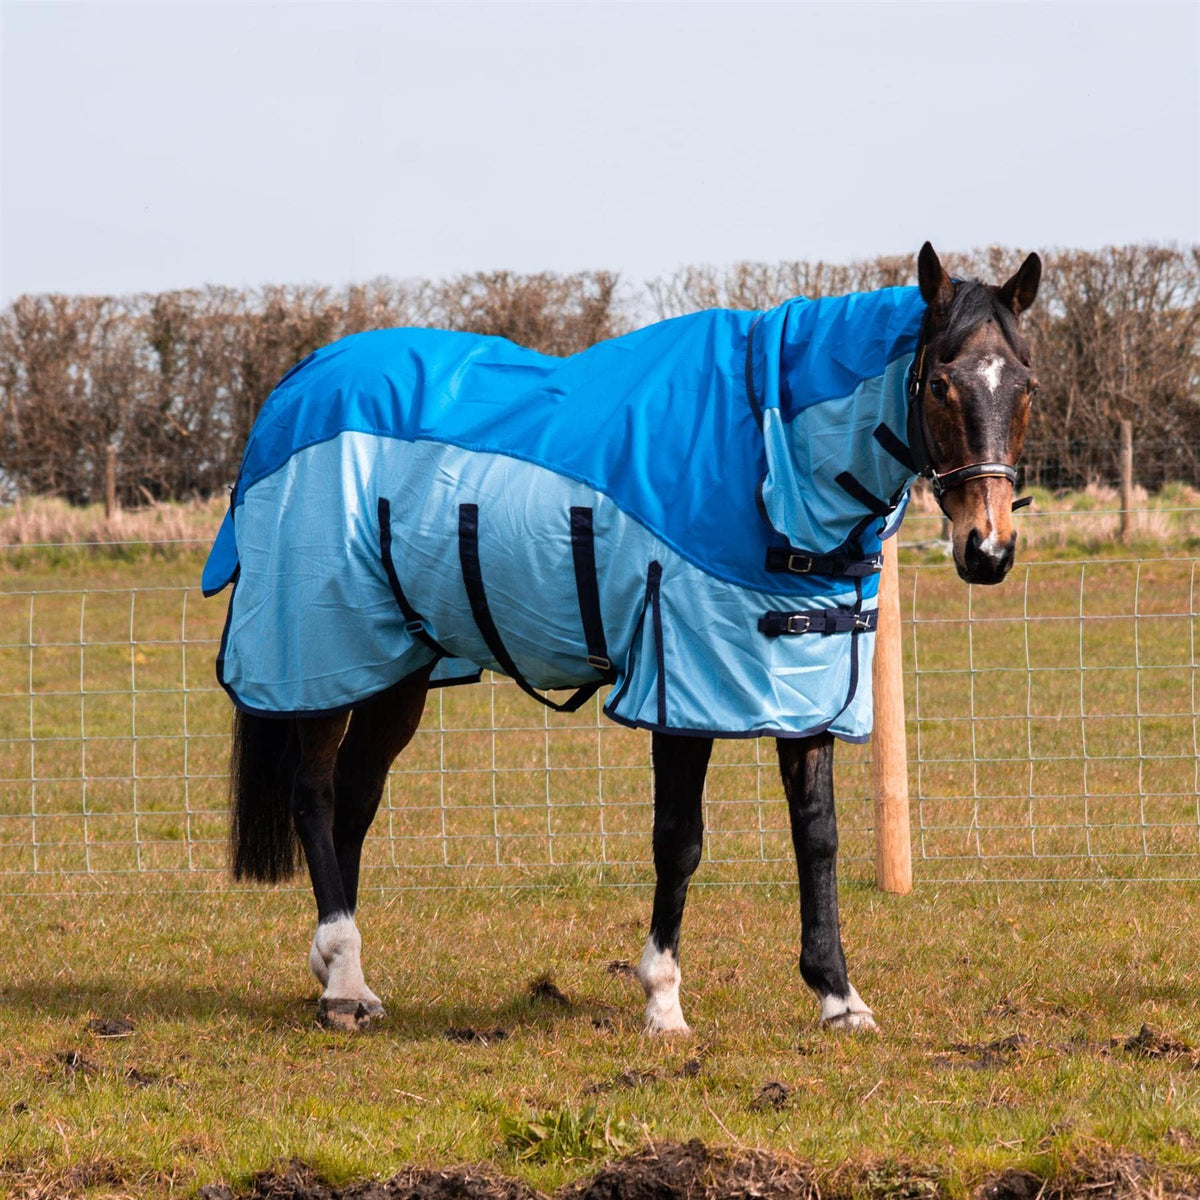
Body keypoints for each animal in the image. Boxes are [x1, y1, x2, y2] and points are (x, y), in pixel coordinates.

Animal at [204, 242, 1041, 1033]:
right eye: (941, 384)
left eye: (1026, 387)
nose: (988, 551)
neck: (762, 457)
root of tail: (295, 385)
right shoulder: (681, 685)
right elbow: (680, 840)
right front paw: (663, 1001)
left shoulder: (807, 685)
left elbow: (819, 836)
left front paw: (838, 997)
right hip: (319, 656)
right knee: (314, 794)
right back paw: (342, 983)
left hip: (396, 668)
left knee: (355, 797)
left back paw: (343, 971)